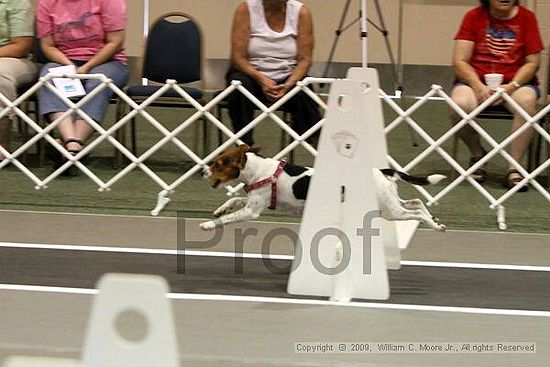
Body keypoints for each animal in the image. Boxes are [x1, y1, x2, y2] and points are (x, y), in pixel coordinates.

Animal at [201, 145, 446, 231]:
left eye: (219, 164)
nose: (203, 172)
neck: (259, 170)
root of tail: (381, 171)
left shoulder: (251, 211)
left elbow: (228, 219)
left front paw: (208, 224)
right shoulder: (255, 201)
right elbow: (233, 200)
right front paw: (221, 209)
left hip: (389, 211)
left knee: (415, 213)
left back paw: (434, 225)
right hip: (390, 202)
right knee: (417, 203)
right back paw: (436, 220)